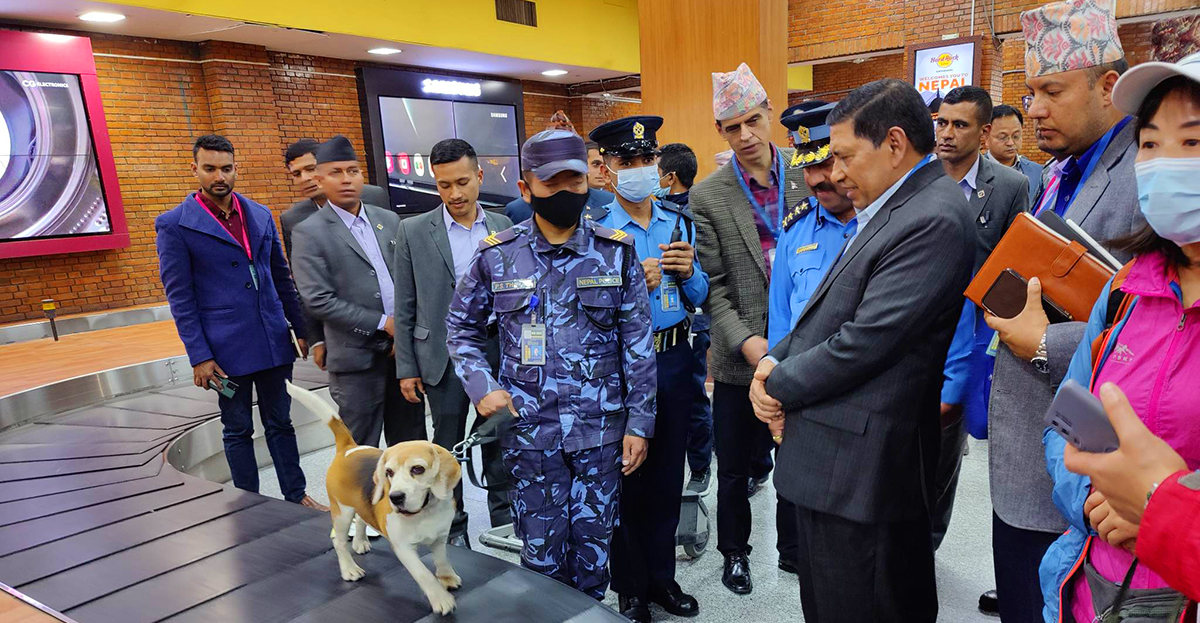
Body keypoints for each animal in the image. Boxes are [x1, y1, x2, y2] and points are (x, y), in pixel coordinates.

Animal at [285, 381, 463, 614]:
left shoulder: (441, 537)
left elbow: (442, 559)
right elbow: (423, 574)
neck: (424, 512)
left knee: (361, 518)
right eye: (389, 472)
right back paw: (349, 569)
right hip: (342, 512)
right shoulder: (404, 548)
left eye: (418, 469)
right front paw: (440, 598)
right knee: (338, 541)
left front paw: (447, 577)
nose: (395, 497)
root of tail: (348, 448)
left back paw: (360, 542)